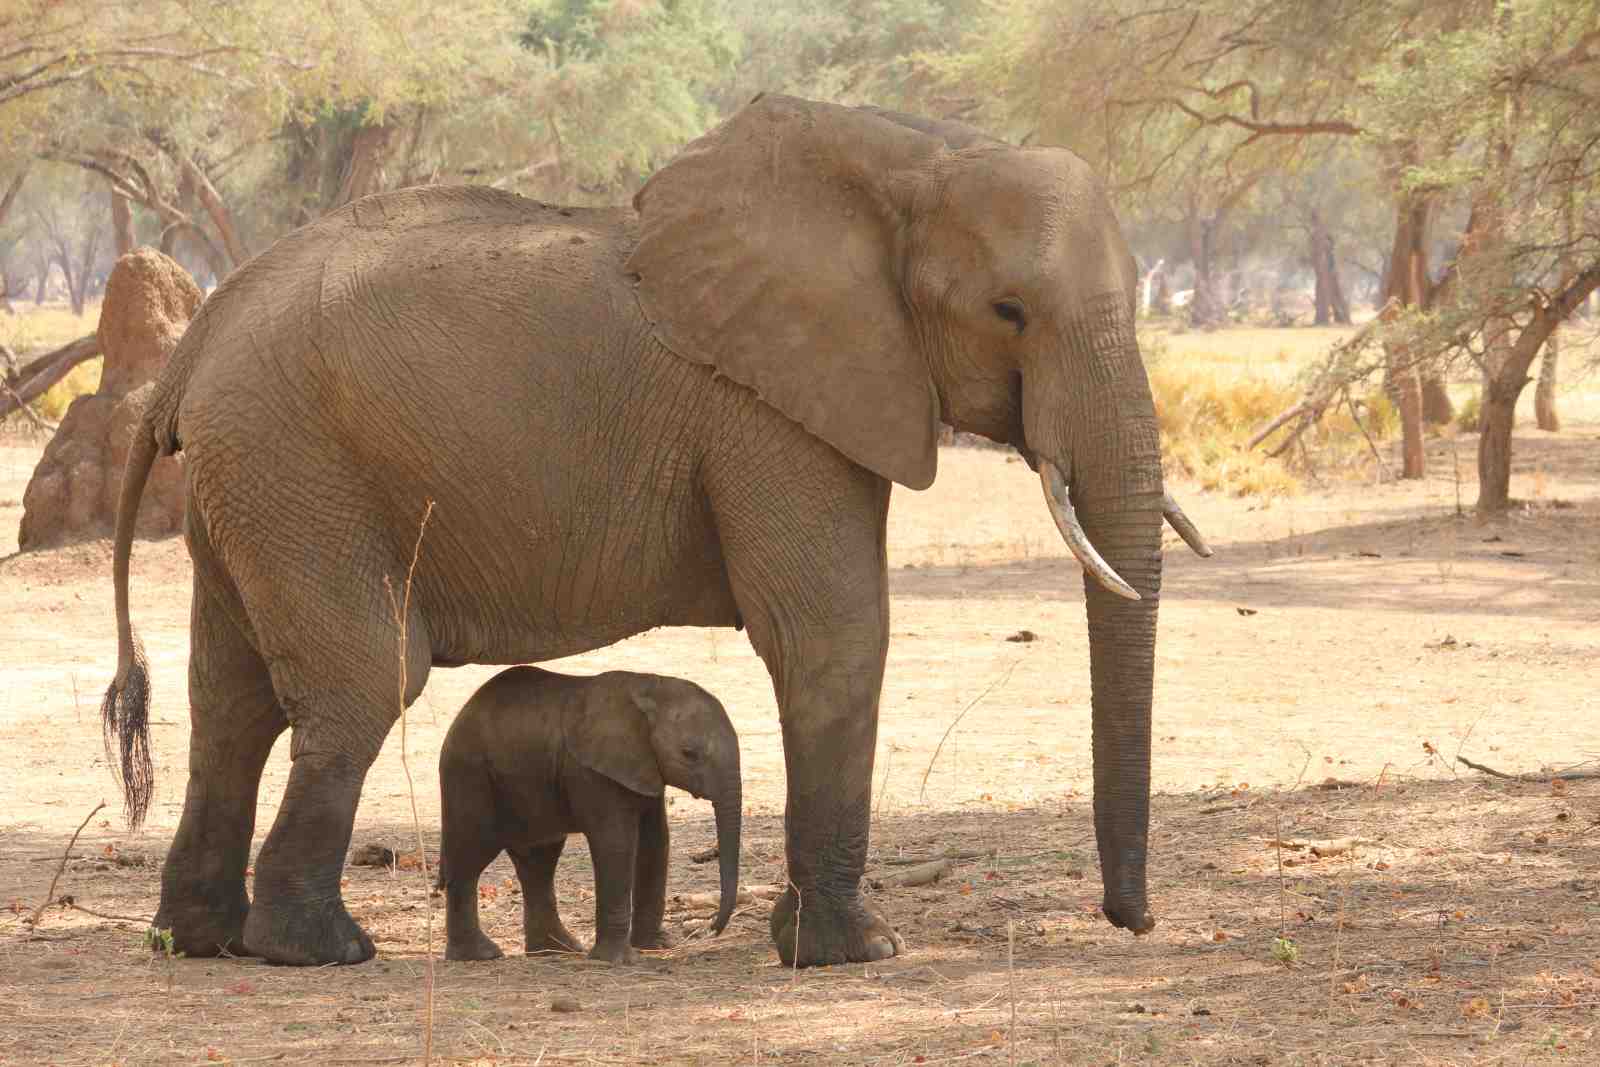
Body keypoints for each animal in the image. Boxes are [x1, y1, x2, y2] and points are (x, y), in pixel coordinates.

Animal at [435, 667, 741, 965]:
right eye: (689, 754)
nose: (711, 928)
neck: (650, 685)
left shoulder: (644, 768)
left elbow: (656, 841)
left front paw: (657, 946)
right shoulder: (592, 772)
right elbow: (616, 843)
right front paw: (619, 961)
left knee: (538, 860)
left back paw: (557, 951)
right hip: (469, 776)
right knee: (470, 857)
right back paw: (481, 955)